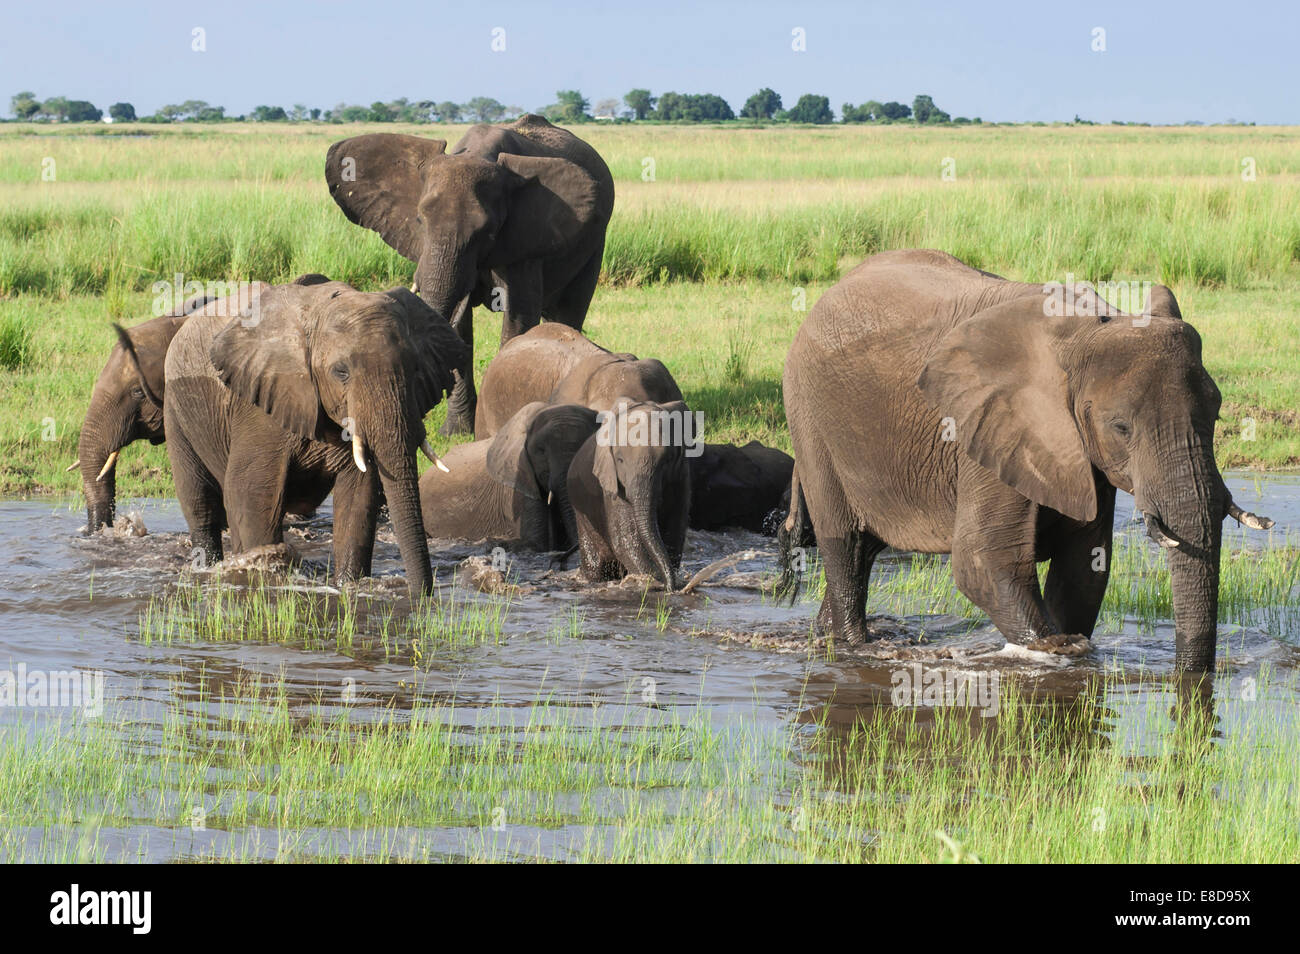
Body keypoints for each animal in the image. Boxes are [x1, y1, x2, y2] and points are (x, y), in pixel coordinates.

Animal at [163, 276, 467, 595]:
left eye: (415, 368)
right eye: (341, 372)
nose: (420, 595)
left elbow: (358, 495)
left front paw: (347, 587)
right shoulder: (259, 408)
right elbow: (250, 495)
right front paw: (259, 579)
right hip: (177, 408)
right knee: (200, 504)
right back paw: (206, 567)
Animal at [322, 113, 611, 436]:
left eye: (487, 232)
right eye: (419, 220)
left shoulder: (525, 239)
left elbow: (519, 316)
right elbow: (460, 326)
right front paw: (456, 432)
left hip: (595, 243)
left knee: (571, 309)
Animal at [774, 250, 1274, 675]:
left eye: (1216, 414)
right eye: (1120, 428)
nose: (1191, 673)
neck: (1085, 331)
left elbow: (1084, 566)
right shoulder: (988, 427)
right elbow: (983, 562)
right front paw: (1056, 648)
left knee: (865, 551)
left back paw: (828, 638)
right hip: (809, 415)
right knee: (845, 546)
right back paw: (856, 647)